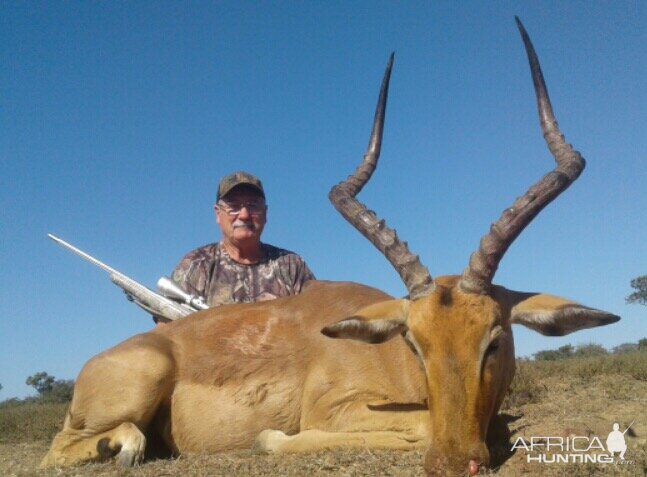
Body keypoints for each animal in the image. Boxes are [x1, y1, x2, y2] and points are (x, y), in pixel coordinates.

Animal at [43, 17, 620, 476]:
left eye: (494, 340)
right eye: (415, 343)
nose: (453, 463)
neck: (387, 358)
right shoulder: (334, 411)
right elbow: (413, 427)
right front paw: (269, 438)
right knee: (62, 449)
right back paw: (120, 447)